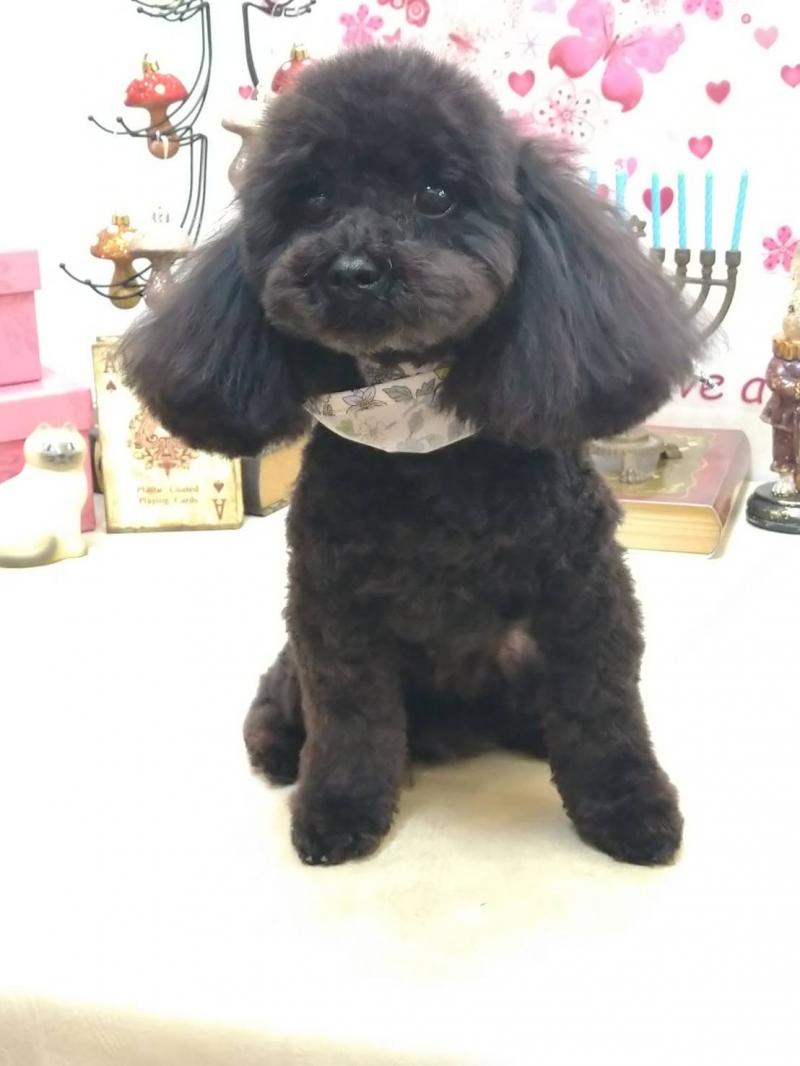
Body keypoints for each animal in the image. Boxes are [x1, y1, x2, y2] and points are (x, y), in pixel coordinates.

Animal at [122, 46, 703, 867]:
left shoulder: (583, 596)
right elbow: (351, 719)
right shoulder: (334, 613)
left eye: (437, 195)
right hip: (295, 655)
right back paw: (279, 749)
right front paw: (336, 809)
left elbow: (604, 709)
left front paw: (629, 809)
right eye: (312, 203)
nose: (353, 270)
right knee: (283, 697)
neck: (419, 435)